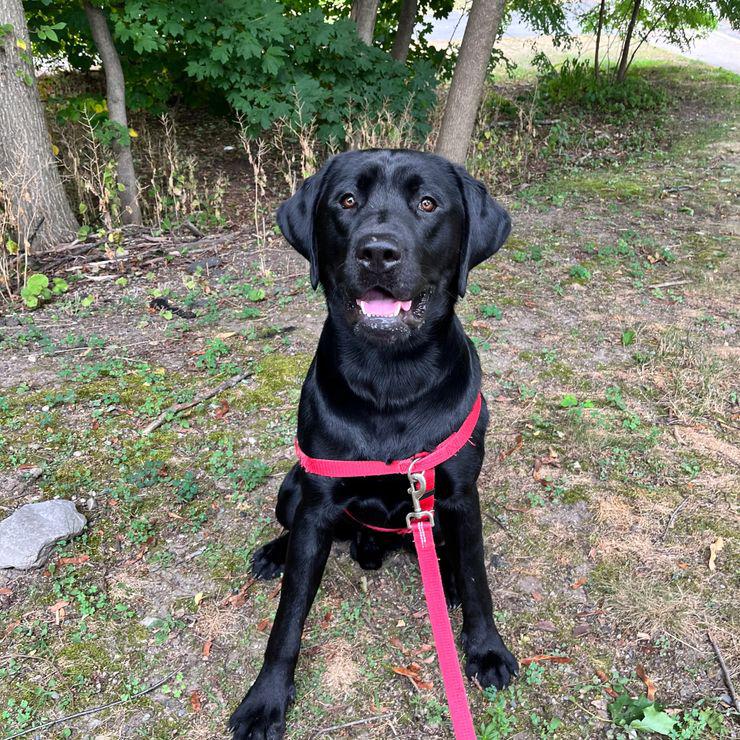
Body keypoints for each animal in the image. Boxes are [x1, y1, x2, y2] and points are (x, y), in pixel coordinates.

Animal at [229, 149, 518, 739]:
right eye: (346, 201)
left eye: (427, 203)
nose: (378, 252)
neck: (392, 380)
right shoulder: (317, 504)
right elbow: (288, 617)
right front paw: (265, 700)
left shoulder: (460, 495)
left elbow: (478, 579)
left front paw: (486, 650)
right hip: (291, 489)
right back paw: (274, 553)